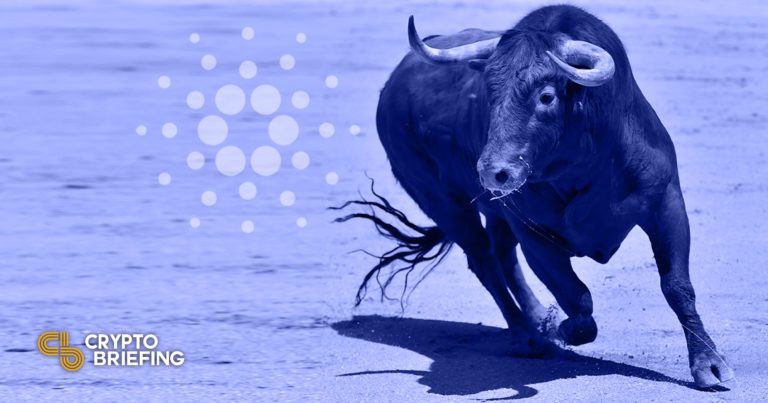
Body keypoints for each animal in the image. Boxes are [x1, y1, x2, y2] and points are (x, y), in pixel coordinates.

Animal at [334, 5, 732, 388]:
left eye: (546, 96)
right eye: (489, 94)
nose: (493, 171)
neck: (585, 161)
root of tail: (394, 82)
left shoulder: (665, 203)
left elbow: (677, 286)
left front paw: (709, 365)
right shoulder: (535, 235)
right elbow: (578, 300)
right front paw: (559, 327)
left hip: (493, 211)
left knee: (501, 254)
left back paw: (536, 317)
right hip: (443, 203)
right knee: (485, 261)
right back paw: (529, 335)